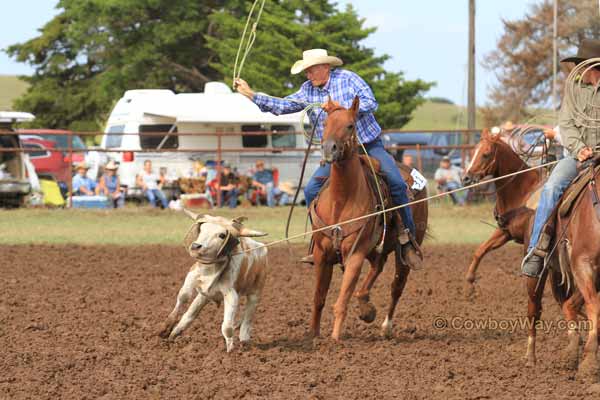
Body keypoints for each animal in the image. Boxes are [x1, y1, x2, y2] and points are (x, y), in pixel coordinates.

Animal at [162, 211, 270, 352]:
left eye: (222, 235)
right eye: (202, 229)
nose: (195, 246)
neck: (210, 270)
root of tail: (262, 247)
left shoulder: (231, 295)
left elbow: (227, 327)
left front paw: (230, 350)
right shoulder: (193, 277)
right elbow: (183, 296)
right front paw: (167, 327)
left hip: (255, 293)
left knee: (247, 319)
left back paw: (244, 340)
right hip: (203, 297)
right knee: (189, 315)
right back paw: (174, 334)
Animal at [310, 97, 426, 340]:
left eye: (350, 125)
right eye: (324, 124)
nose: (328, 149)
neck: (341, 199)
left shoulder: (355, 254)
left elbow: (341, 301)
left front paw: (335, 340)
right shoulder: (321, 255)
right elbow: (319, 298)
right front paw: (313, 336)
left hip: (403, 251)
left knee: (396, 286)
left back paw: (385, 326)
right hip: (376, 249)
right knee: (376, 268)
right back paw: (366, 307)